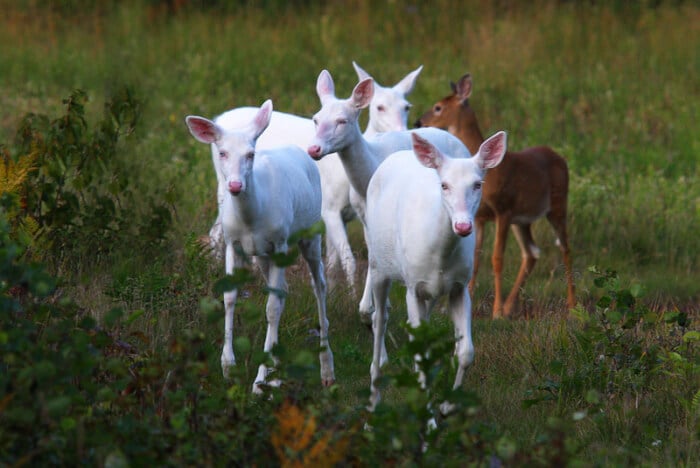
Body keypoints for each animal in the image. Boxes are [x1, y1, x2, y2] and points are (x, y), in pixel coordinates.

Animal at [185, 100, 334, 394]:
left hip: (310, 233)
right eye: (222, 152)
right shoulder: (232, 243)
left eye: (250, 154)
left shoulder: (280, 242)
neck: (251, 219)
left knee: (319, 284)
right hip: (265, 255)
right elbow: (230, 296)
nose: (234, 185)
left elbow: (271, 308)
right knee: (284, 289)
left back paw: (326, 369)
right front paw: (228, 367)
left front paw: (259, 380)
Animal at [202, 64, 422, 294]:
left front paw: (334, 290)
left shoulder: (343, 214)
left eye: (406, 107)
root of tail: (219, 119)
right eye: (379, 107)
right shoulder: (329, 207)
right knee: (216, 230)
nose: (403, 131)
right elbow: (348, 258)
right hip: (224, 181)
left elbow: (333, 260)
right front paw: (352, 295)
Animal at [308, 70, 470, 326]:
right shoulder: (364, 213)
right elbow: (371, 252)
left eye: (343, 120)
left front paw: (370, 307)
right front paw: (369, 308)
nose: (313, 149)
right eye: (315, 119)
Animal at [366, 132, 508, 410]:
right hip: (378, 264)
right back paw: (374, 395)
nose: (463, 226)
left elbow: (465, 352)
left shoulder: (460, 287)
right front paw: (427, 412)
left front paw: (446, 406)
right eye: (444, 185)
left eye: (478, 184)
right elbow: (422, 348)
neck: (439, 256)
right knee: (379, 318)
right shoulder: (412, 286)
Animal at [416, 74, 576, 318]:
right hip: (522, 220)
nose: (418, 122)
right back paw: (511, 306)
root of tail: (560, 157)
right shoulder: (481, 217)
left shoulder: (503, 210)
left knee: (565, 249)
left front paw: (496, 311)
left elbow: (496, 258)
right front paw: (471, 300)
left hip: (557, 205)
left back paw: (572, 304)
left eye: (438, 107)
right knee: (531, 252)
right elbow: (476, 258)